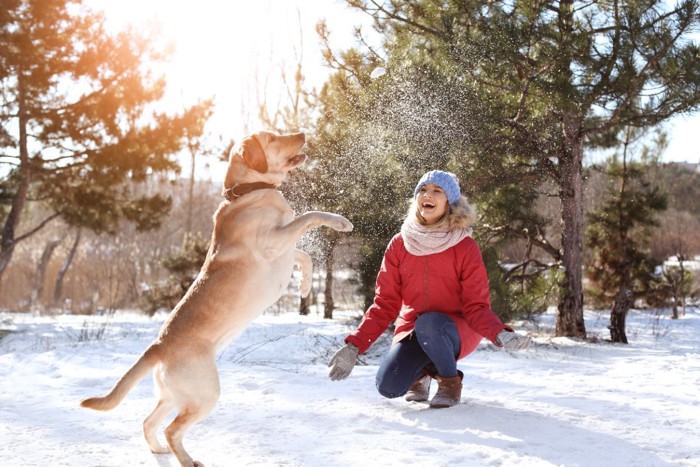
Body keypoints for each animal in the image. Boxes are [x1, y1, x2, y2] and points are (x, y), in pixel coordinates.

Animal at [81, 130, 352, 466]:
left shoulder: (285, 248)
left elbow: (305, 256)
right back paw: (187, 460)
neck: (248, 191)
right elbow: (309, 216)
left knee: (149, 421)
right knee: (172, 430)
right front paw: (339, 221)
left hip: (173, 396)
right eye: (273, 137)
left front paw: (303, 289)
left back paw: (158, 450)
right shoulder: (274, 242)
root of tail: (158, 346)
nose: (302, 133)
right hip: (204, 395)